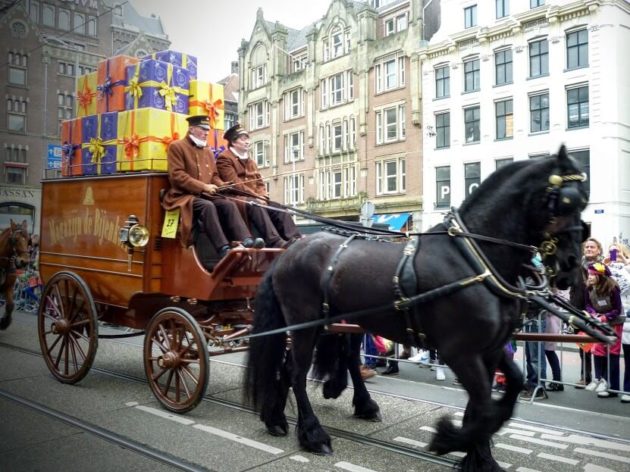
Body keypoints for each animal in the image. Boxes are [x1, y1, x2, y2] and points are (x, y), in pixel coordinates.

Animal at [248, 146, 592, 470]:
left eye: (584, 202)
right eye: (566, 201)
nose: (571, 267)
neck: (475, 259)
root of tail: (290, 249)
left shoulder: (491, 347)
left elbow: (505, 394)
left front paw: (479, 457)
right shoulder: (459, 352)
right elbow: (483, 407)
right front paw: (449, 438)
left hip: (329, 322)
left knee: (308, 363)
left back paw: (280, 417)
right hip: (304, 323)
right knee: (296, 371)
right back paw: (312, 433)